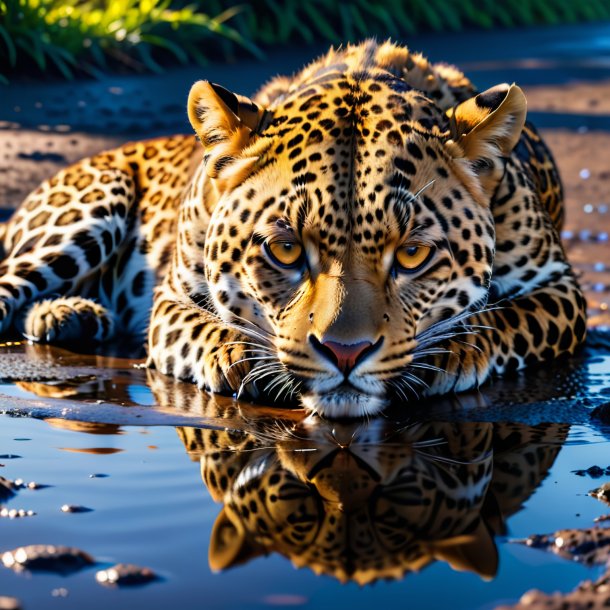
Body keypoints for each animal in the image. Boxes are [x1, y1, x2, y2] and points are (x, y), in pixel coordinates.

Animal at [0, 39, 584, 418]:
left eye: (413, 255)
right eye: (284, 250)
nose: (346, 354)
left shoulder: (560, 286)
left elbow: (506, 317)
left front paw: (450, 350)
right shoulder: (171, 295)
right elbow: (200, 324)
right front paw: (236, 354)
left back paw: (69, 316)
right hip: (90, 206)